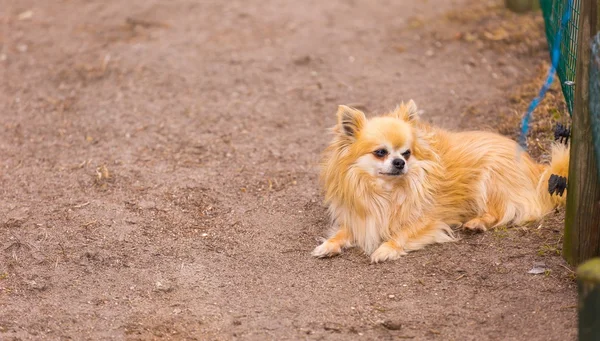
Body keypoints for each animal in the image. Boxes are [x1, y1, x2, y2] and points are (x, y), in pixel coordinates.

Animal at [312, 99, 568, 262]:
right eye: (380, 153)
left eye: (407, 153)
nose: (400, 162)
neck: (387, 191)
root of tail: (536, 167)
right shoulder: (362, 219)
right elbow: (343, 232)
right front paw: (329, 244)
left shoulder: (430, 220)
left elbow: (402, 233)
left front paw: (386, 249)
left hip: (488, 179)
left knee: (498, 211)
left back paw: (477, 223)